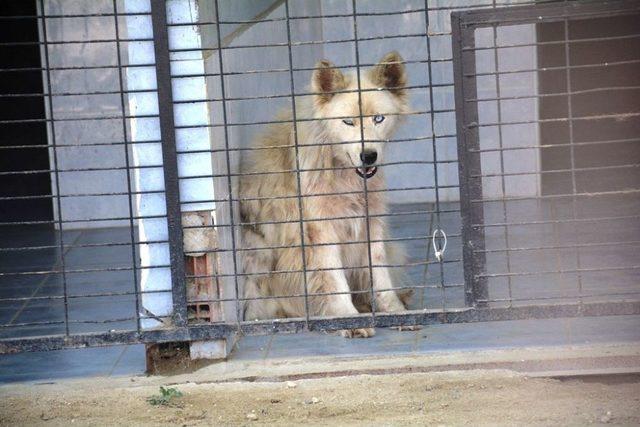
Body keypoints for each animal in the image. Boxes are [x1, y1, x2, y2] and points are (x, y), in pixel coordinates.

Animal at [239, 51, 410, 338]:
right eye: (348, 122)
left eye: (378, 119)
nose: (368, 156)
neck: (341, 173)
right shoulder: (320, 232)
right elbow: (334, 280)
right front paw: (348, 319)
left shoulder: (371, 223)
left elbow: (380, 275)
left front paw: (393, 310)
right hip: (258, 253)